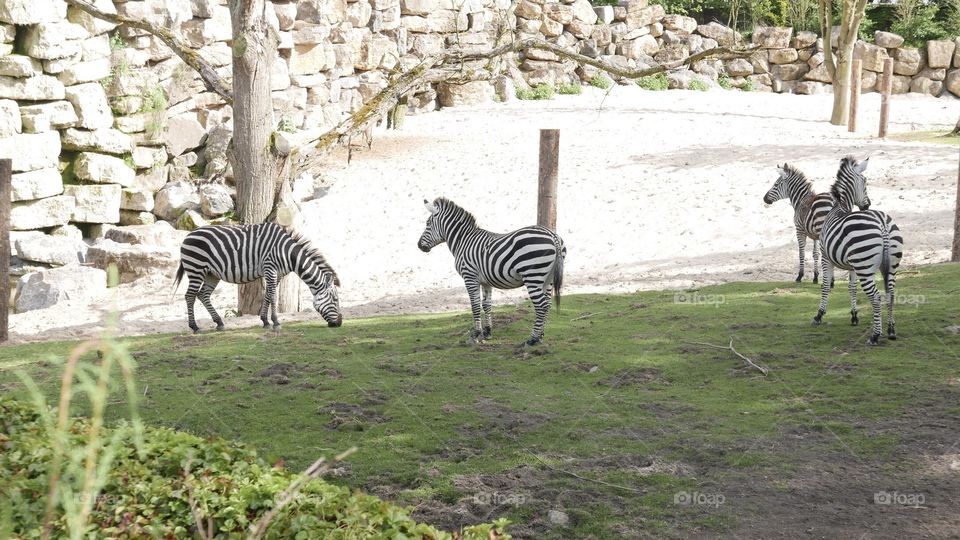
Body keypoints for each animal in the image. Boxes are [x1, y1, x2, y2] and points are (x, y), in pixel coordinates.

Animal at [173, 223, 342, 333]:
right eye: (335, 299)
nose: (340, 323)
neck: (287, 253)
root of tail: (189, 234)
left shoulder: (277, 274)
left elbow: (267, 295)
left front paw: (265, 321)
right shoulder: (270, 268)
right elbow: (273, 296)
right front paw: (276, 322)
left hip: (211, 274)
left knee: (203, 295)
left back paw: (219, 323)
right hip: (196, 268)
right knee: (190, 296)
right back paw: (195, 327)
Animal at [417, 197, 566, 346]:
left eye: (428, 224)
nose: (419, 245)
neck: (463, 240)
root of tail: (552, 235)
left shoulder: (469, 276)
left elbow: (475, 305)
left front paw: (475, 335)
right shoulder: (485, 281)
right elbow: (486, 304)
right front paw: (487, 332)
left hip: (532, 276)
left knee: (541, 305)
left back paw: (533, 339)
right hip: (548, 279)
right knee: (547, 303)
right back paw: (540, 336)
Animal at [813, 156, 903, 345]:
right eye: (866, 182)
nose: (867, 205)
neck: (839, 208)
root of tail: (882, 223)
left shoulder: (826, 258)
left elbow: (825, 286)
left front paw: (819, 315)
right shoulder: (852, 266)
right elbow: (852, 288)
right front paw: (854, 316)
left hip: (865, 267)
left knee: (876, 297)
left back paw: (875, 335)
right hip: (890, 265)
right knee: (890, 294)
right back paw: (891, 330)